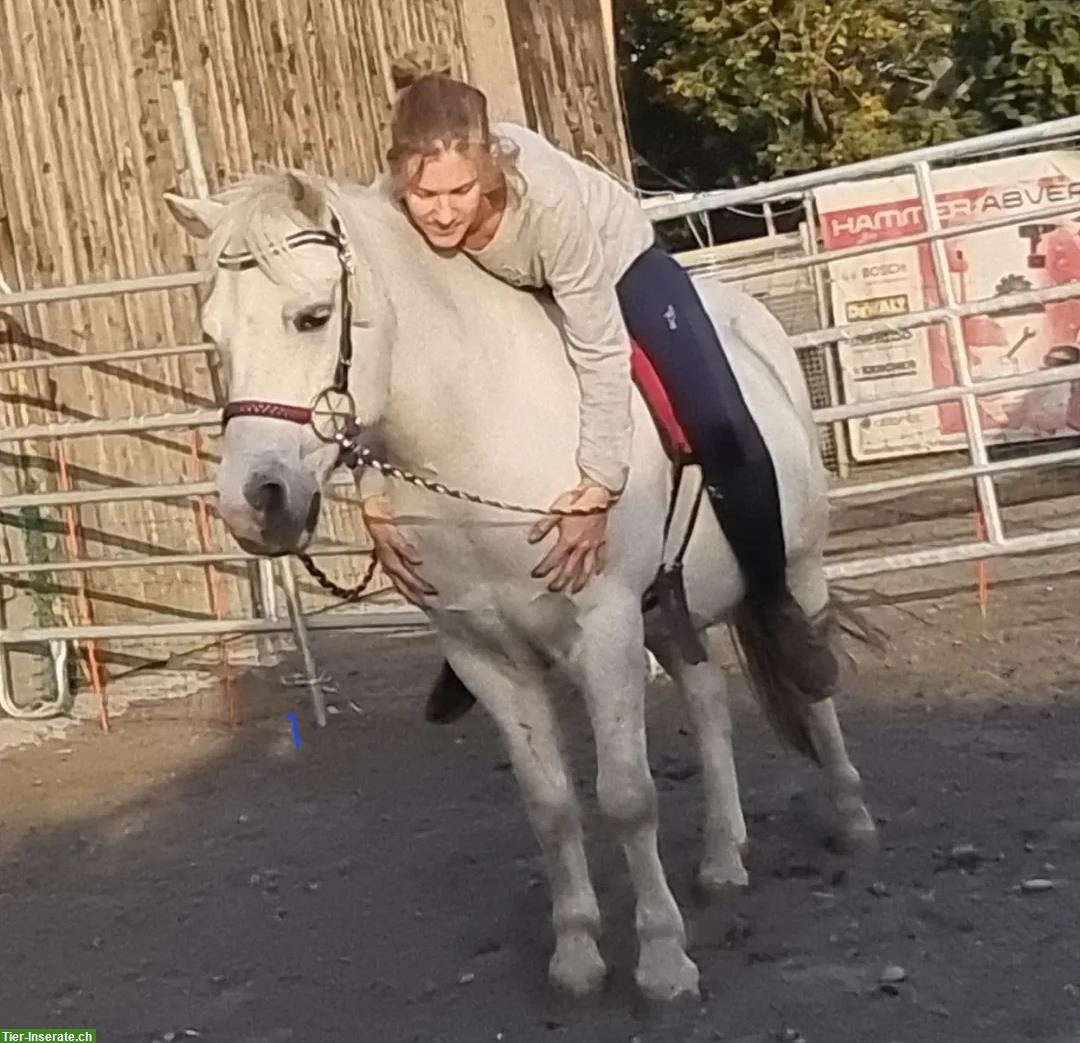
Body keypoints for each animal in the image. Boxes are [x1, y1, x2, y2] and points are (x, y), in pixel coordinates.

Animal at [164, 170, 876, 1002]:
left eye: (310, 317)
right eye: (214, 338)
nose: (255, 501)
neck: (480, 427)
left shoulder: (605, 632)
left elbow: (626, 796)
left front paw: (663, 958)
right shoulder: (486, 656)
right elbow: (550, 803)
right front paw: (576, 951)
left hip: (799, 570)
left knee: (812, 681)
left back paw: (852, 815)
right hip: (673, 612)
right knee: (708, 705)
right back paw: (723, 857)